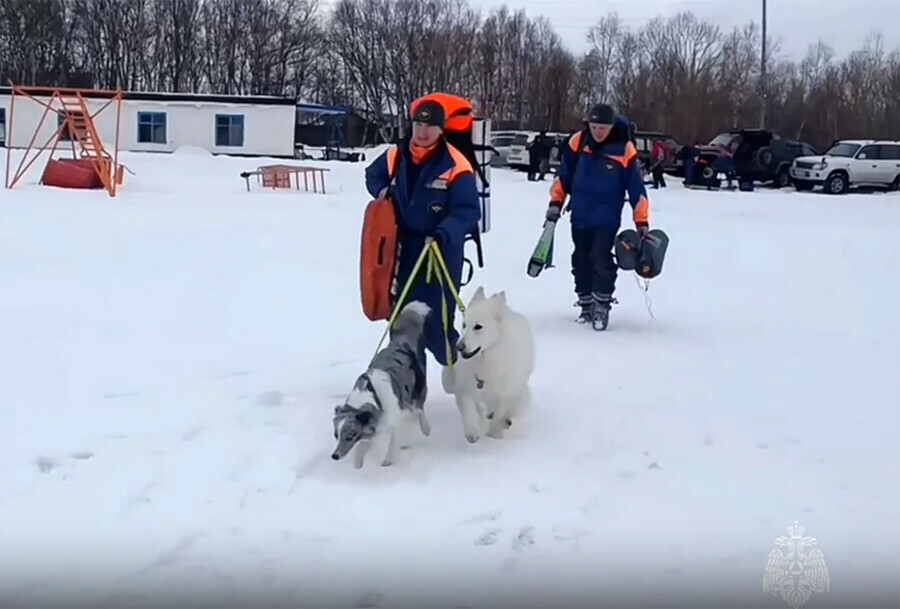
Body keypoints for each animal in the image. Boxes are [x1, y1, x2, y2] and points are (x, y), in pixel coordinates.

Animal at [330, 298, 432, 466]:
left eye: (350, 435)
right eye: (335, 435)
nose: (334, 456)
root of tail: (400, 343)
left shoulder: (395, 418)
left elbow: (393, 442)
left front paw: (388, 461)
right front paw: (358, 463)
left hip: (417, 391)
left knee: (420, 409)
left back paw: (425, 428)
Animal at [444, 286, 536, 442]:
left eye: (478, 327)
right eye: (464, 325)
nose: (459, 347)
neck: (486, 361)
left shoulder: (507, 393)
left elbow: (500, 413)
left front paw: (494, 433)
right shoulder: (465, 388)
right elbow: (469, 410)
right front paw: (472, 432)